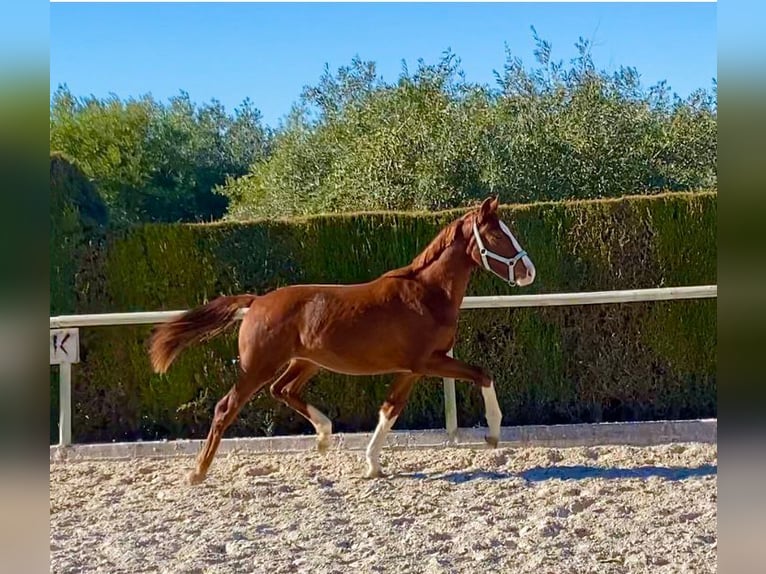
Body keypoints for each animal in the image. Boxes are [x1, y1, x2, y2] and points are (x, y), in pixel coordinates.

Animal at [148, 196, 536, 484]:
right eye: (498, 236)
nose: (528, 271)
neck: (426, 295)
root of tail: (256, 302)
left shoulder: (411, 369)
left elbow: (390, 409)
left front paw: (373, 465)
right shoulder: (429, 361)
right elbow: (483, 374)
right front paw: (492, 435)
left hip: (305, 362)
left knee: (282, 390)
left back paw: (323, 436)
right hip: (259, 366)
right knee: (226, 407)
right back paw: (198, 473)